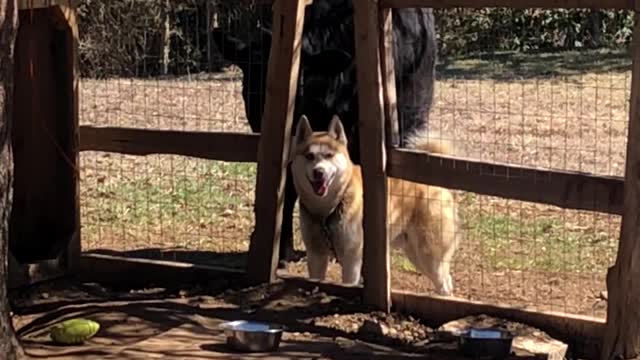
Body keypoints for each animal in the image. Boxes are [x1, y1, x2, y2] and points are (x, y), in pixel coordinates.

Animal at [290, 114, 460, 296]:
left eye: (329, 155)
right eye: (309, 156)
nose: (318, 172)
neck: (328, 210)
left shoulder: (352, 259)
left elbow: (348, 283)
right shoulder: (316, 255)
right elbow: (315, 280)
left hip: (429, 256)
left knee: (444, 284)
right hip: (415, 254)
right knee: (446, 280)